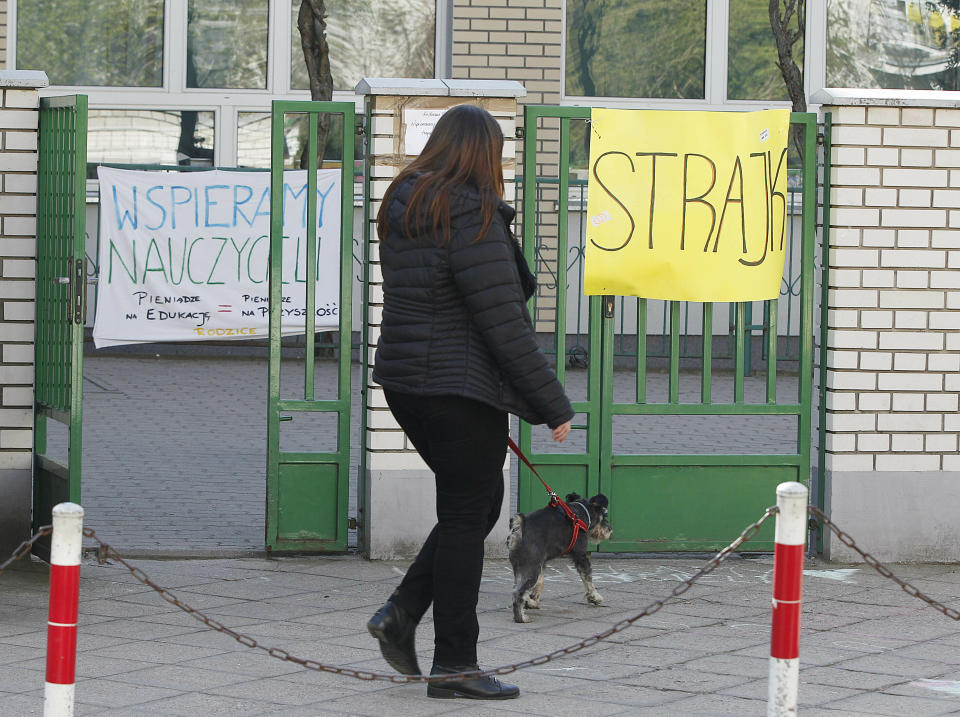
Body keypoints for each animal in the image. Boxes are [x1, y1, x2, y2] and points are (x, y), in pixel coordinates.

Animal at [506, 492, 612, 620]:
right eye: (604, 515)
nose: (610, 530)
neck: (581, 512)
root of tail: (520, 527)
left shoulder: (542, 562)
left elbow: (540, 582)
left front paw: (533, 601)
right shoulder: (581, 555)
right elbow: (587, 577)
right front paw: (595, 597)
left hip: (522, 567)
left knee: (515, 588)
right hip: (531, 568)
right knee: (518, 592)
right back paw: (521, 618)